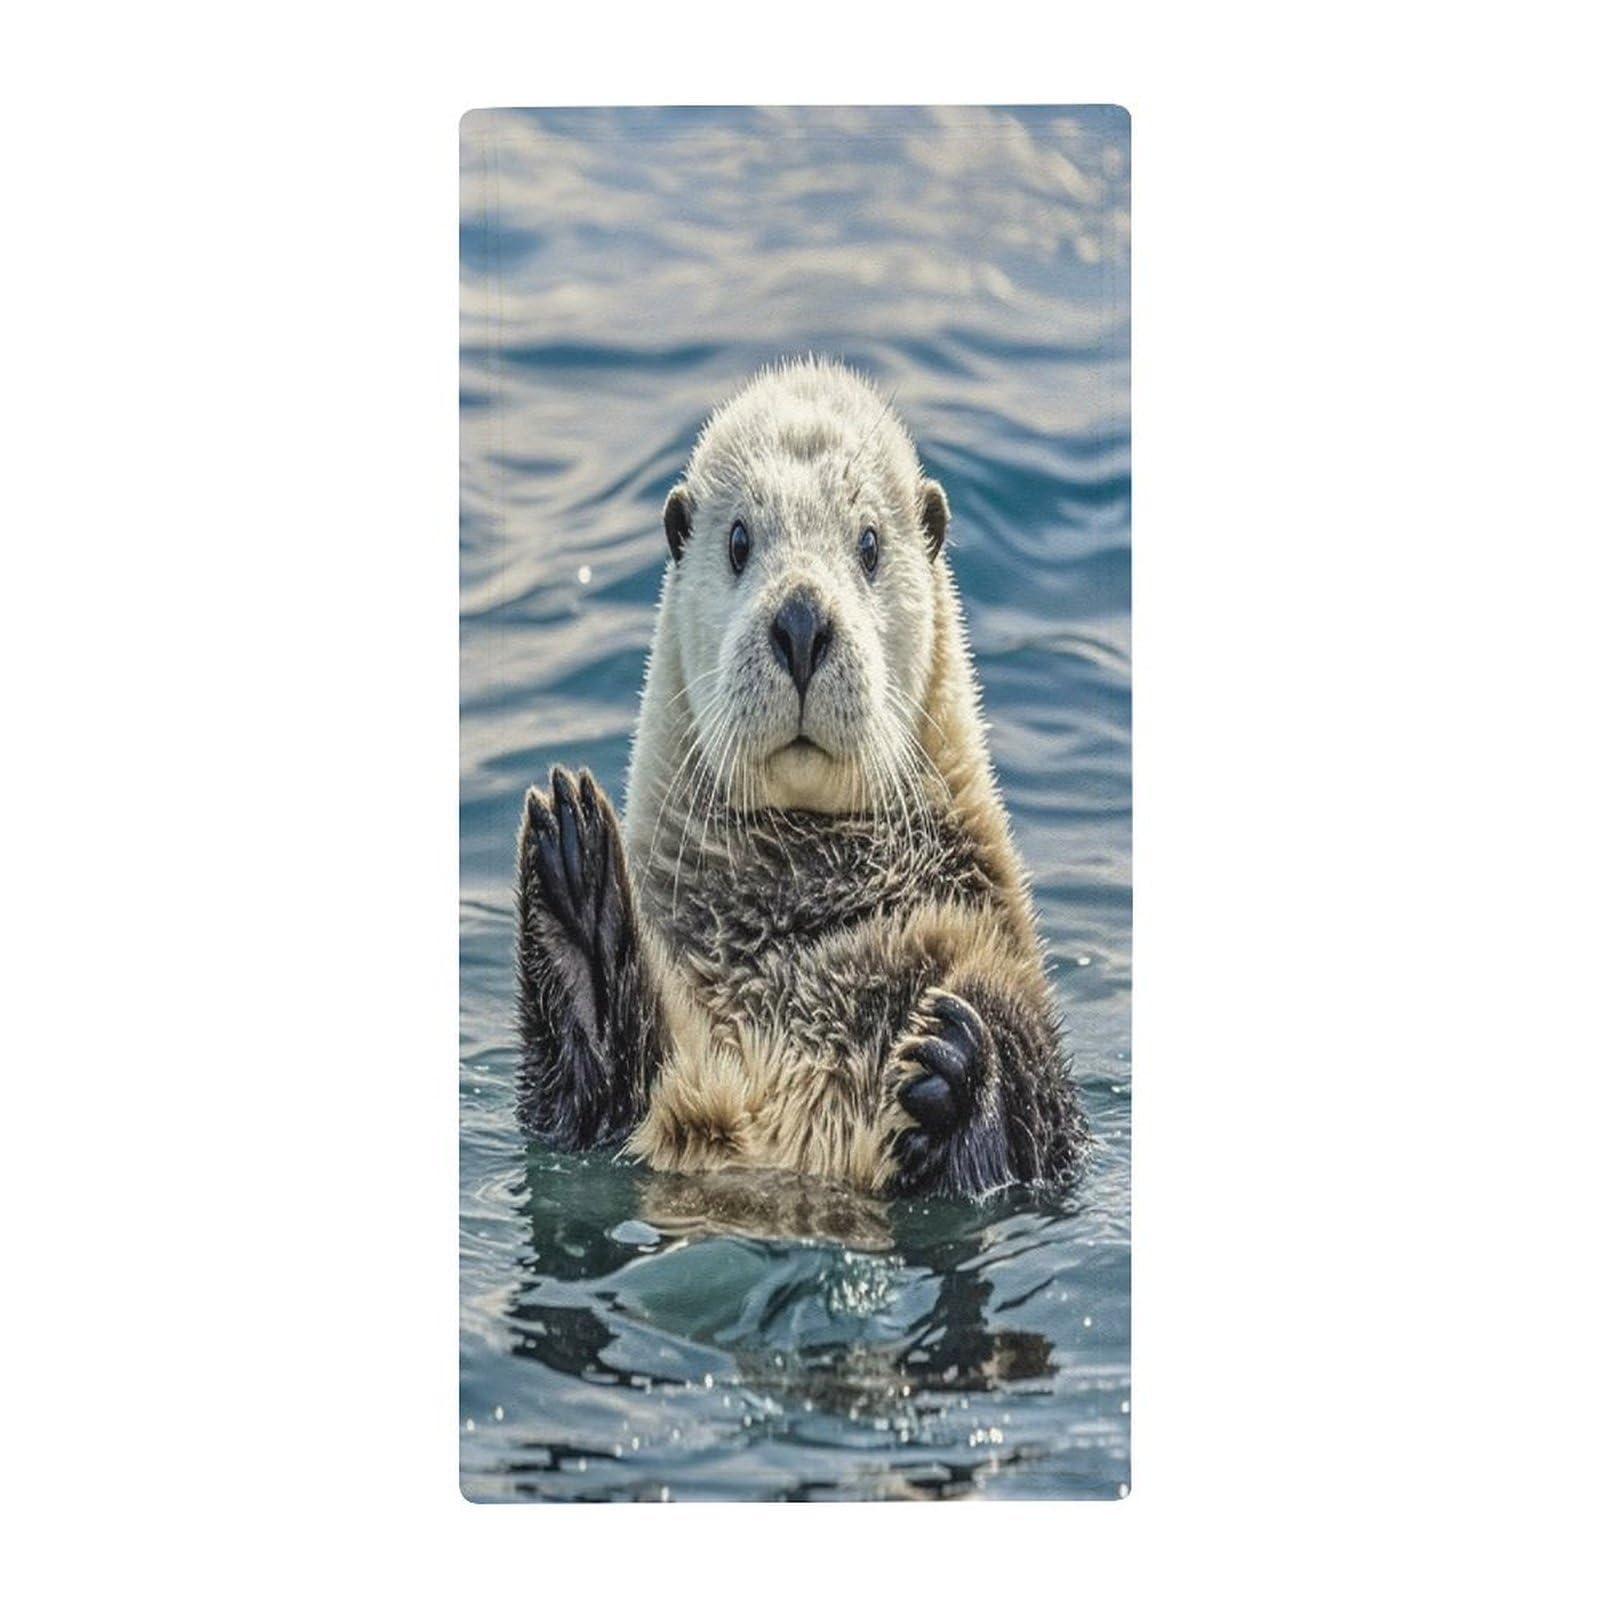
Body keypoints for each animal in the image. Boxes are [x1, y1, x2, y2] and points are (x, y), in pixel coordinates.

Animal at [515, 357, 1086, 1197]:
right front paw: (574, 880)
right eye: (739, 540)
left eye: (871, 544)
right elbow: (581, 1107)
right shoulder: (612, 1121)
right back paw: (577, 884)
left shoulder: (998, 950)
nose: (802, 621)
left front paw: (955, 1064)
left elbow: (1036, 1117)